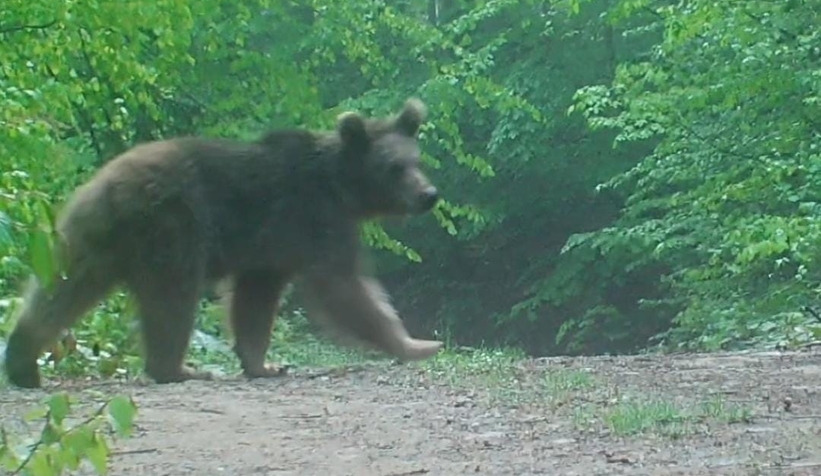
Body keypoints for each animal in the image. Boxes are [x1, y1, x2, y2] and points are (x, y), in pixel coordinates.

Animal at [3, 98, 446, 388]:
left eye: (417, 160)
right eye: (394, 167)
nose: (429, 194)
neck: (341, 188)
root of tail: (110, 183)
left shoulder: (270, 250)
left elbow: (255, 301)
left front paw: (263, 363)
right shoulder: (313, 219)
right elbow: (344, 287)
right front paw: (417, 342)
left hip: (89, 237)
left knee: (60, 288)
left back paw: (22, 360)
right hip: (173, 226)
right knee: (172, 296)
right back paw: (178, 367)